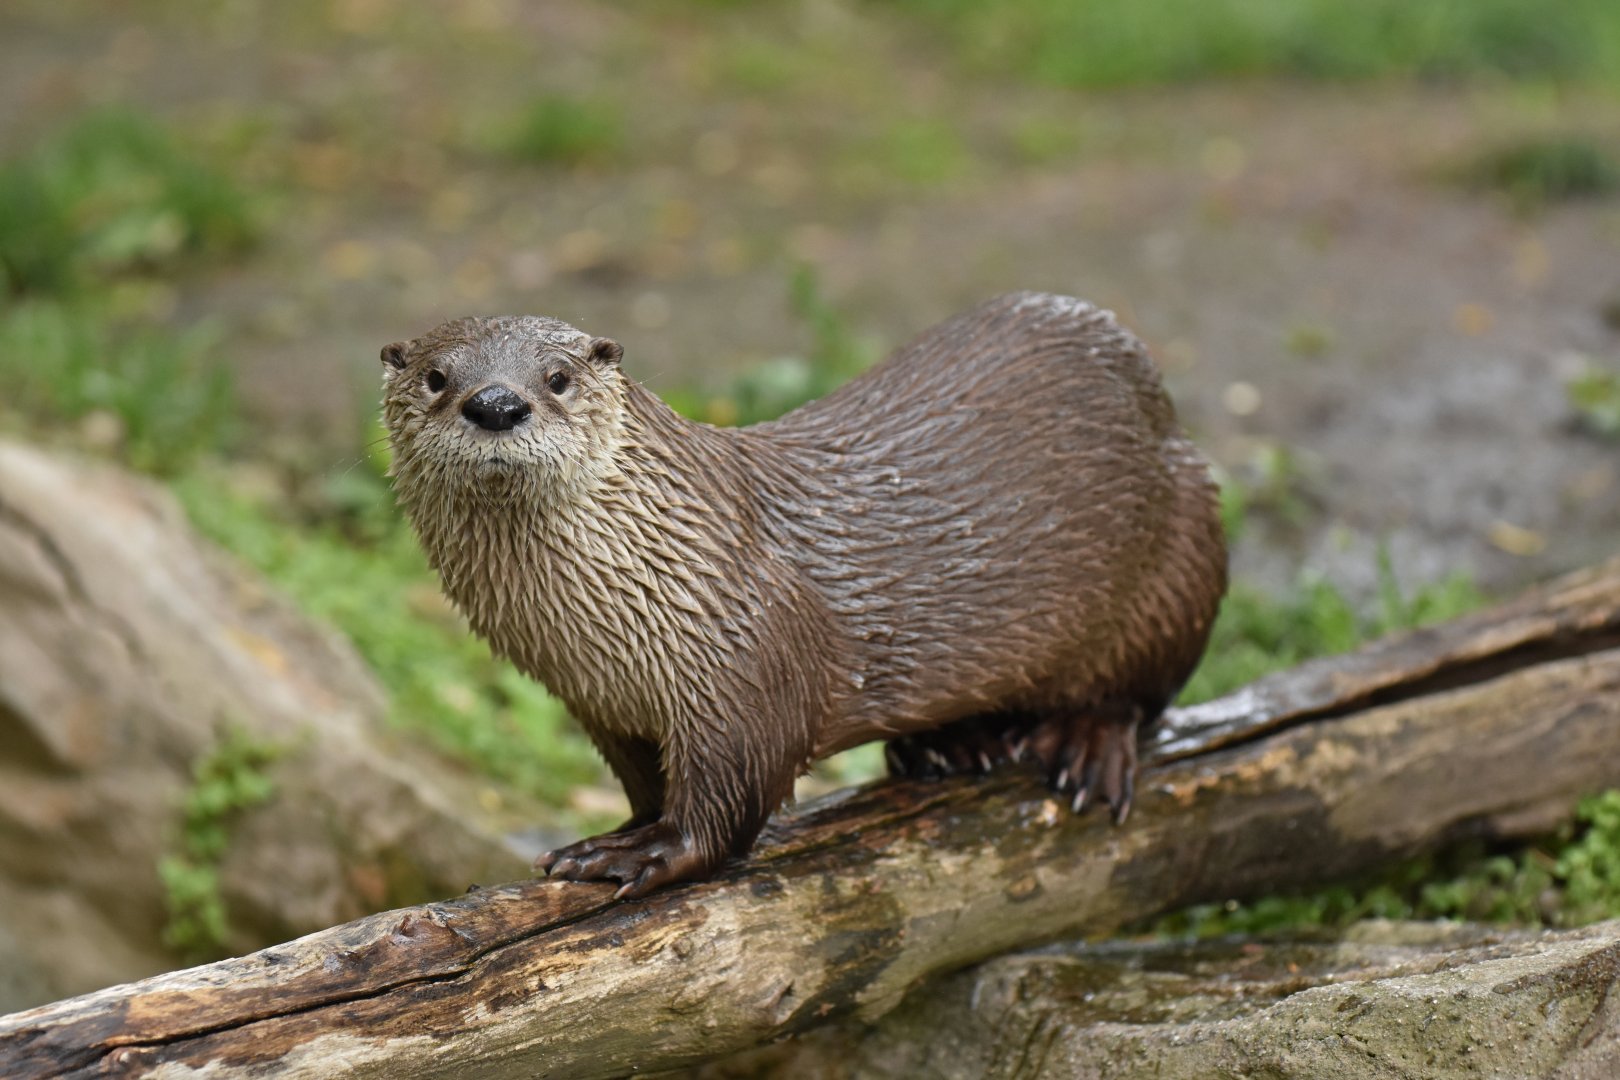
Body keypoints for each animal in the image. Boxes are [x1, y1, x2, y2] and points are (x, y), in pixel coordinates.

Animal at [381, 292, 1226, 898]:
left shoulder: (745, 656)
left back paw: (1085, 746)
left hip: (1185, 554)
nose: (496, 404)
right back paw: (949, 747)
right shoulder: (601, 705)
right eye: (436, 378)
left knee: (1142, 694)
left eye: (557, 378)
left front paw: (641, 851)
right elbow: (646, 780)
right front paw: (626, 826)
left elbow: (731, 794)